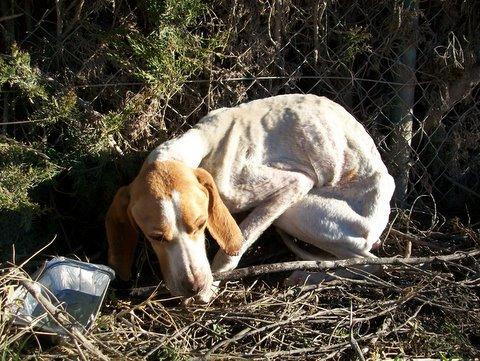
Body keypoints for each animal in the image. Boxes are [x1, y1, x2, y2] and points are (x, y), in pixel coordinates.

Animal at [107, 93, 396, 300]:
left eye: (201, 224)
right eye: (155, 236)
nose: (194, 286)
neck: (203, 144)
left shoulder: (296, 182)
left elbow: (238, 242)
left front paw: (213, 283)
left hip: (295, 214)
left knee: (373, 264)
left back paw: (305, 277)